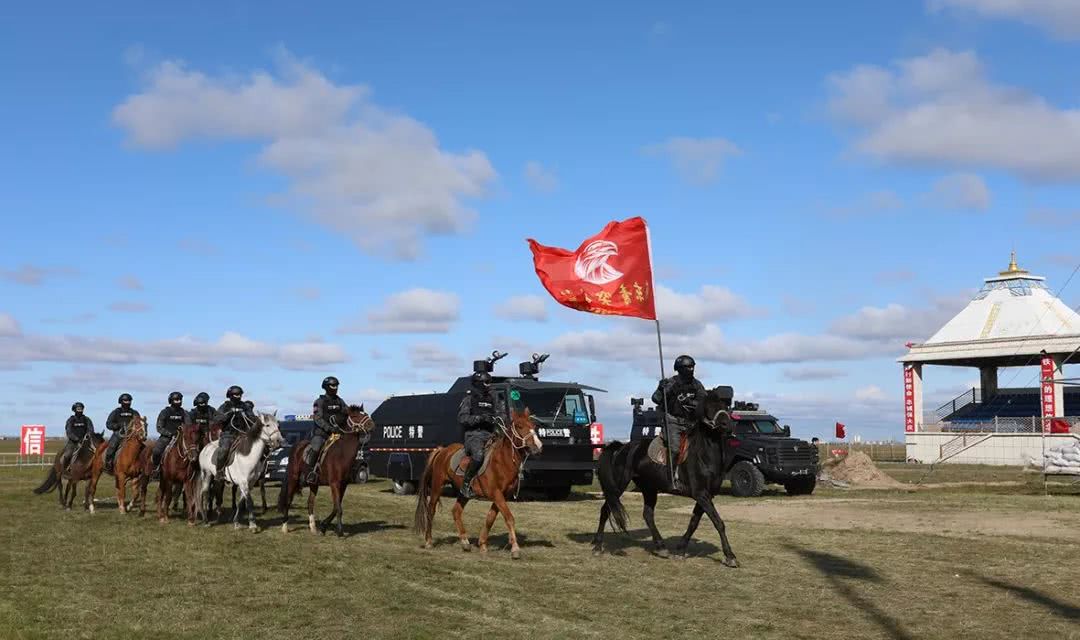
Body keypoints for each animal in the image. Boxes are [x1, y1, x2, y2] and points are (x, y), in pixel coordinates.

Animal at [276, 405, 373, 537]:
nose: (371, 424)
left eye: (365, 414)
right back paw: (285, 527)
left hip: (313, 483)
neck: (342, 454)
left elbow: (336, 507)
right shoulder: (334, 484)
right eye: (354, 416)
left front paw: (323, 526)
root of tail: (296, 447)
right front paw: (340, 531)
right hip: (293, 478)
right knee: (289, 500)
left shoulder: (343, 485)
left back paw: (313, 528)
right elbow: (338, 508)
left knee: (310, 503)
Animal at [414, 410, 548, 561]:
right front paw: (515, 549)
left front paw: (483, 545)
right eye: (519, 426)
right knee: (431, 510)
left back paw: (465, 542)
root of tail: (442, 450)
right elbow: (509, 518)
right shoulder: (496, 494)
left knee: (456, 511)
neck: (502, 461)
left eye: (533, 426)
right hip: (437, 486)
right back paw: (429, 541)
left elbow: (490, 519)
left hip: (463, 493)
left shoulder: (501, 496)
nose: (538, 446)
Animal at [591, 386, 743, 565]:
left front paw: (681, 550)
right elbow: (718, 522)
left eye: (725, 406)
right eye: (708, 407)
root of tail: (621, 448)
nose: (728, 425)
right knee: (605, 510)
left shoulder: (706, 495)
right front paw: (730, 556)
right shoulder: (701, 494)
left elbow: (694, 522)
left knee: (647, 514)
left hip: (649, 488)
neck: (704, 455)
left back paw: (661, 546)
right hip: (618, 486)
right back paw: (597, 546)